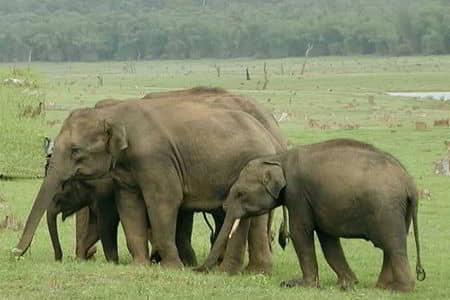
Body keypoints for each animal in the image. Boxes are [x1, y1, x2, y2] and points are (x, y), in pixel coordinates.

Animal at [15, 87, 284, 274]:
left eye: (75, 150)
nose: (15, 253)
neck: (113, 113)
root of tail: (269, 129)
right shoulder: (124, 171)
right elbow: (129, 205)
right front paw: (139, 265)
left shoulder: (155, 158)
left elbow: (163, 201)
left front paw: (170, 267)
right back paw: (255, 271)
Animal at [199, 139, 428, 292]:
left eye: (239, 193)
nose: (197, 270)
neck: (278, 158)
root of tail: (410, 184)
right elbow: (328, 238)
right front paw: (347, 284)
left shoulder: (297, 193)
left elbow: (301, 233)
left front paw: (296, 284)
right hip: (400, 210)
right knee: (389, 246)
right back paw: (383, 287)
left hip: (387, 207)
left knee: (393, 245)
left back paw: (400, 289)